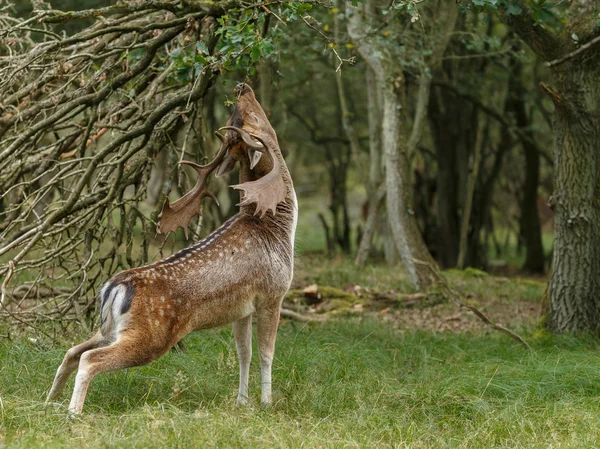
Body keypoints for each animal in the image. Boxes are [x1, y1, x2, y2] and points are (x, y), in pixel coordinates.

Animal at [45, 84, 298, 412]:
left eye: (245, 117)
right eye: (254, 117)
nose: (242, 88)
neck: (279, 230)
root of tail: (113, 287)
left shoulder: (243, 307)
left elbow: (245, 353)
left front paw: (241, 402)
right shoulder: (274, 292)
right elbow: (267, 353)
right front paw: (267, 403)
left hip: (109, 328)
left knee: (72, 351)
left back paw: (49, 401)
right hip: (151, 336)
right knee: (89, 358)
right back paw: (74, 412)